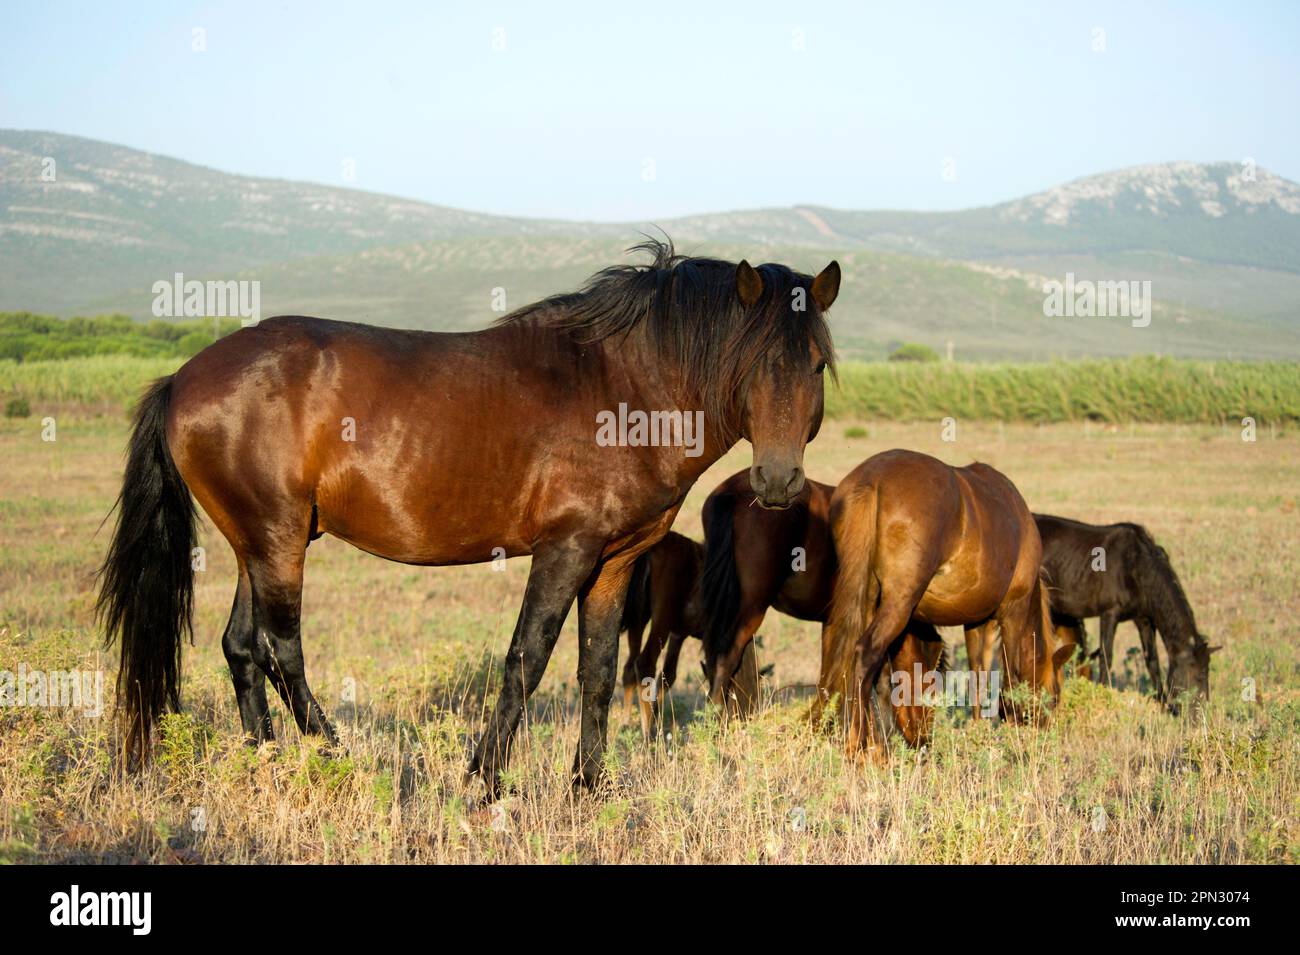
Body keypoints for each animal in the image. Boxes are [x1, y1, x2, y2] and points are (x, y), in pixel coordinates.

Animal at [94, 237, 842, 789]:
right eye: (752, 360)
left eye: (815, 363)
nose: (778, 482)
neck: (626, 386)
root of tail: (183, 378)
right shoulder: (566, 549)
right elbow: (526, 659)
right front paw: (484, 778)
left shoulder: (617, 558)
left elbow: (598, 670)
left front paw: (590, 784)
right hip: (276, 541)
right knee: (282, 648)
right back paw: (338, 759)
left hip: (261, 542)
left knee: (242, 646)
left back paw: (269, 761)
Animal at [816, 446, 1071, 753]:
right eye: (1054, 697)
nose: (1046, 733)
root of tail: (871, 480)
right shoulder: (1014, 611)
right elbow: (1012, 674)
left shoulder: (976, 621)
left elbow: (977, 673)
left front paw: (978, 730)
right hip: (897, 604)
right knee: (865, 653)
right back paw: (860, 744)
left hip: (865, 598)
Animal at [1029, 514, 1211, 712]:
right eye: (1197, 676)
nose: (1201, 712)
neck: (1138, 566)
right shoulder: (1109, 614)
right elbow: (1106, 657)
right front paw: (1102, 694)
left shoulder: (1144, 620)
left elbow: (1152, 660)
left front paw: (1162, 704)